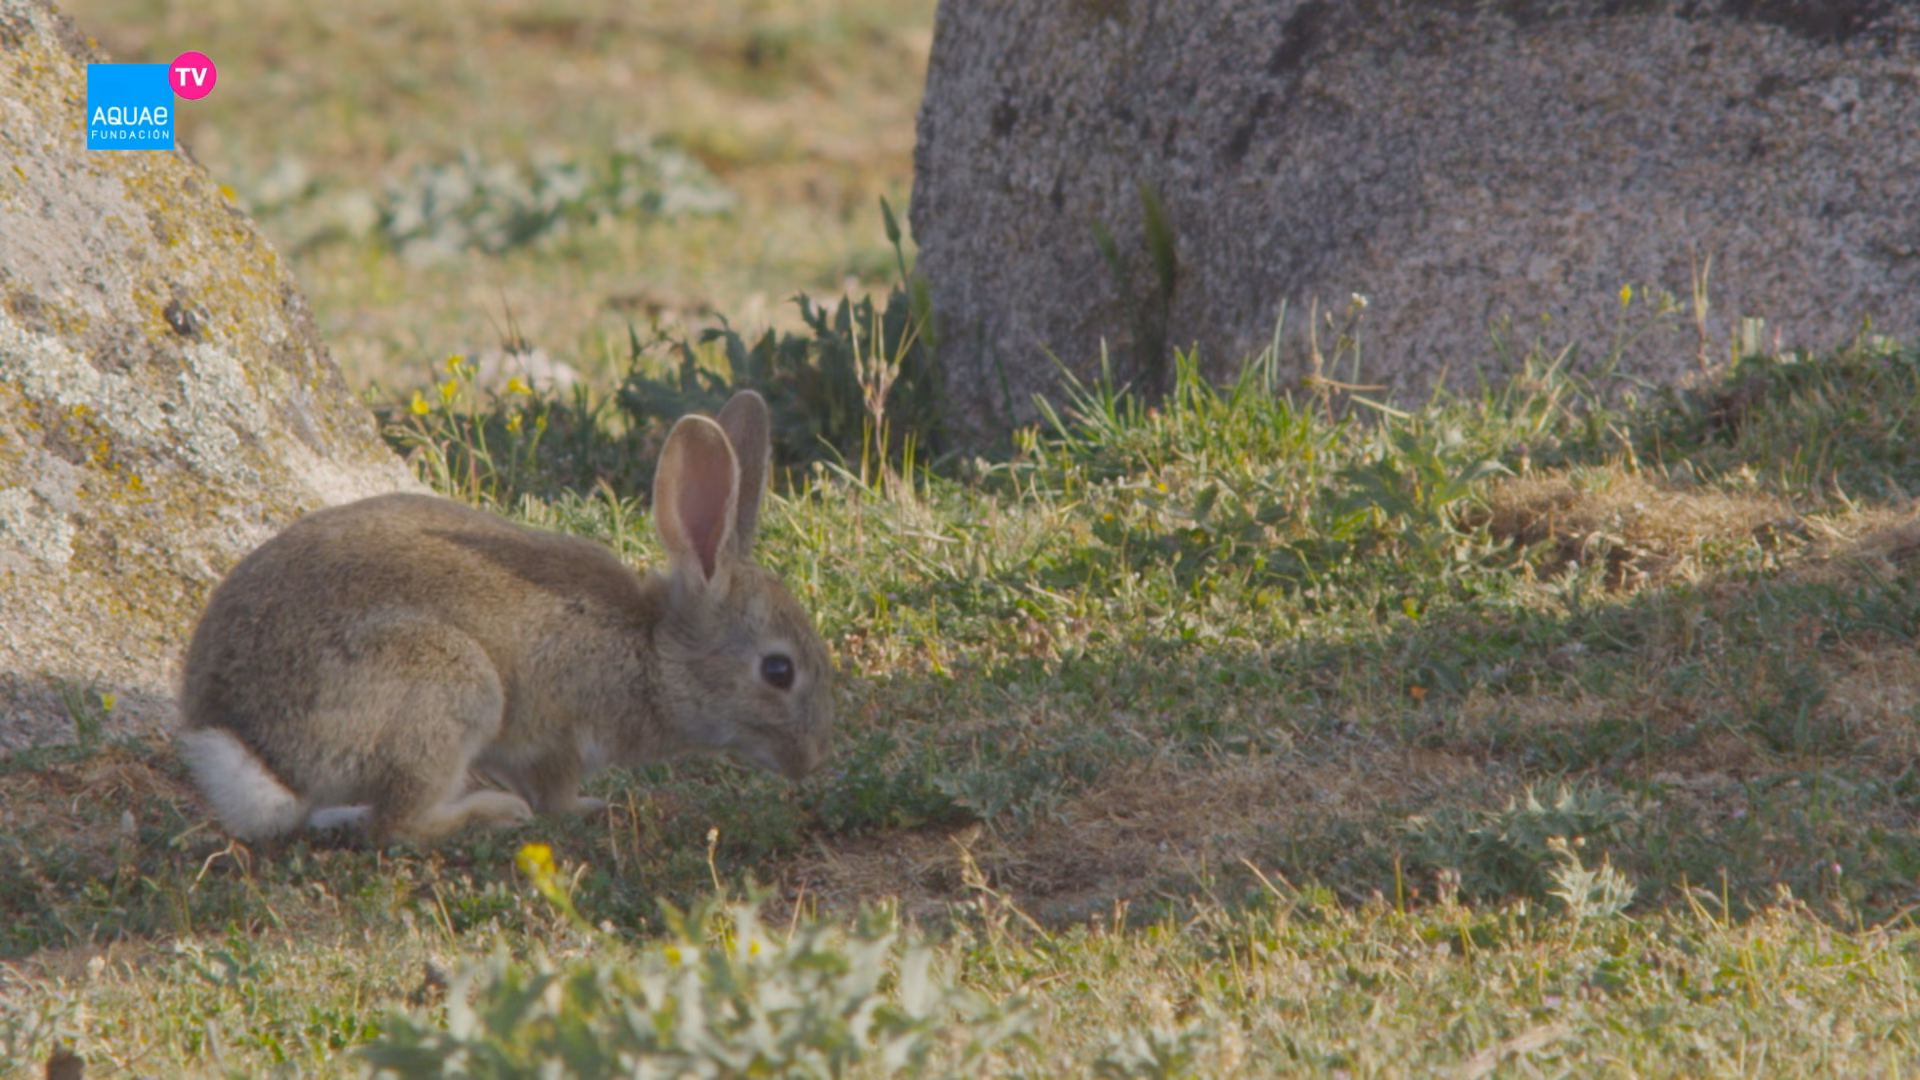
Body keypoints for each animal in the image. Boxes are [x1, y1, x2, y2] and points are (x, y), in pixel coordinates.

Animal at [176, 389, 832, 844]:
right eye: (778, 671)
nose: (810, 761)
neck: (652, 653)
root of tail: (246, 740)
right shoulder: (559, 737)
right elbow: (554, 795)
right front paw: (587, 809)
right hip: (447, 686)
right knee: (397, 825)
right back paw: (490, 814)